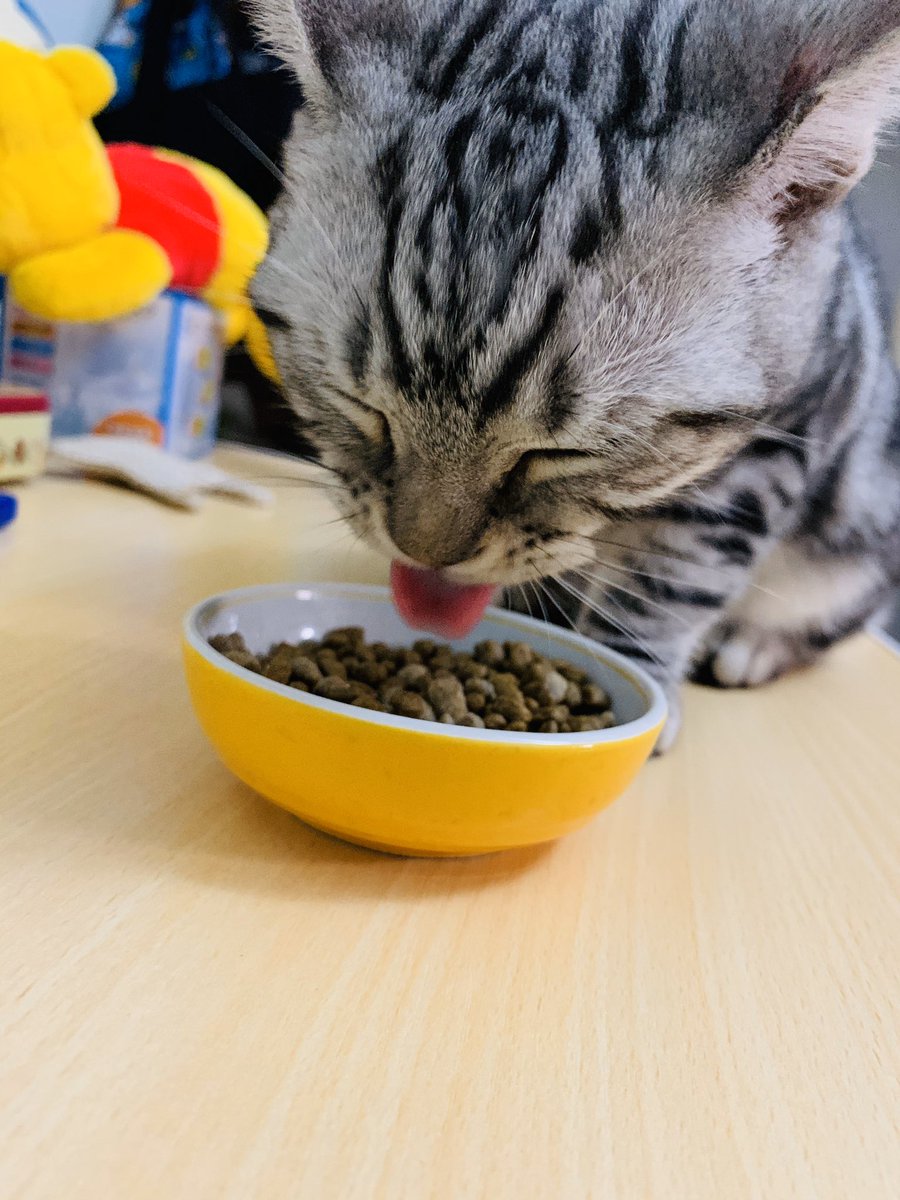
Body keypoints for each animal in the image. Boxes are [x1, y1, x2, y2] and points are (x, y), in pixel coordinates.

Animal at [248, 2, 900, 748]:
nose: (426, 555)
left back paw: (752, 647)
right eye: (364, 409)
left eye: (560, 453)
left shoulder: (778, 439)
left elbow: (669, 578)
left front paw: (637, 677)